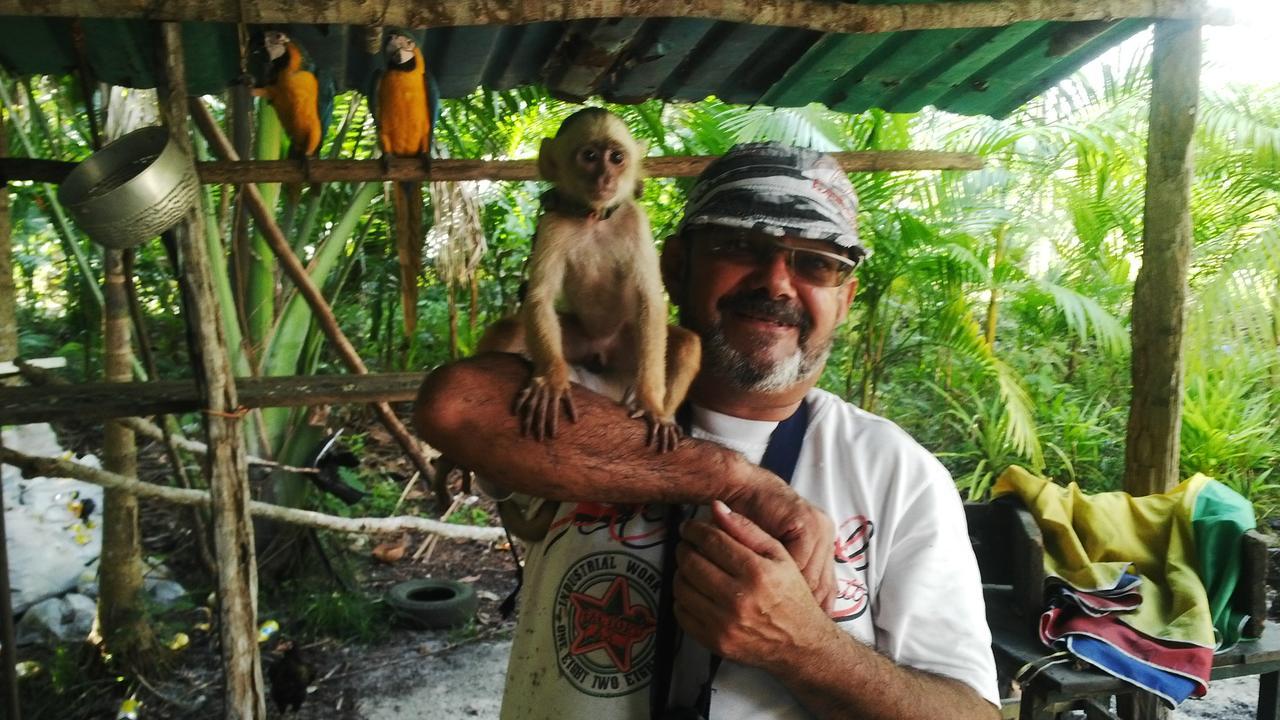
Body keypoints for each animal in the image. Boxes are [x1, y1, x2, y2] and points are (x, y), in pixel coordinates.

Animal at [478, 108, 701, 450]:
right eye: (590, 156)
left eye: (617, 157)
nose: (605, 178)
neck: (594, 218)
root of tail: (601, 347)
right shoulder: (553, 223)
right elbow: (539, 296)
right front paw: (553, 380)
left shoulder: (635, 220)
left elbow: (650, 300)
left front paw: (652, 405)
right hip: (578, 338)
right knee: (511, 328)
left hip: (627, 343)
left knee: (687, 345)